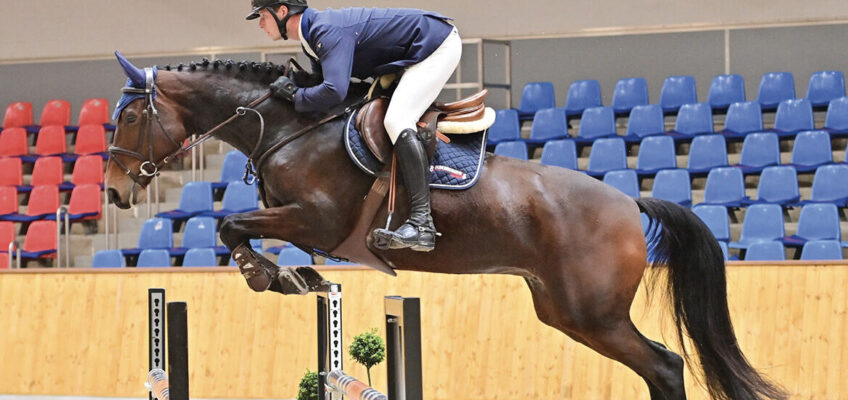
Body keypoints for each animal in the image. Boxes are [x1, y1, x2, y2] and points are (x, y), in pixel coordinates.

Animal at [106, 55, 788, 400]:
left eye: (131, 117)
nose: (114, 191)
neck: (289, 126)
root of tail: (630, 203)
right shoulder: (303, 223)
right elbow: (240, 228)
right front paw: (287, 276)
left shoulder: (317, 220)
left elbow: (229, 225)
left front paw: (265, 273)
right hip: (565, 312)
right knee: (657, 368)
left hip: (593, 314)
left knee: (665, 366)